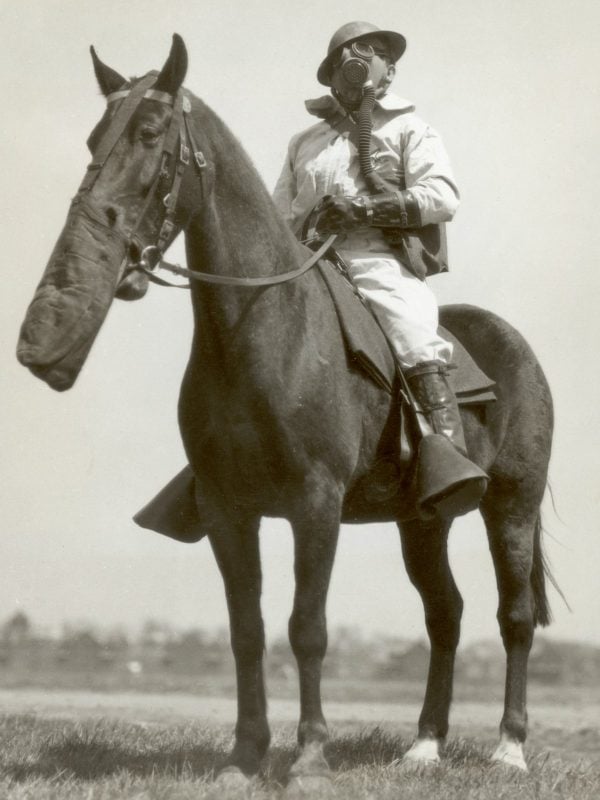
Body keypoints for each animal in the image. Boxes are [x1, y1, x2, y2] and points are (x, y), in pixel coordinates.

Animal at [17, 34, 552, 792]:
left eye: (150, 132)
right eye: (96, 136)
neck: (260, 328)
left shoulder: (314, 504)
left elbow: (308, 627)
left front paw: (310, 758)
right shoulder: (227, 510)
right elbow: (247, 630)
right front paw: (244, 758)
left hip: (512, 505)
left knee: (516, 616)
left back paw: (509, 748)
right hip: (423, 522)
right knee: (445, 614)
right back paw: (424, 746)